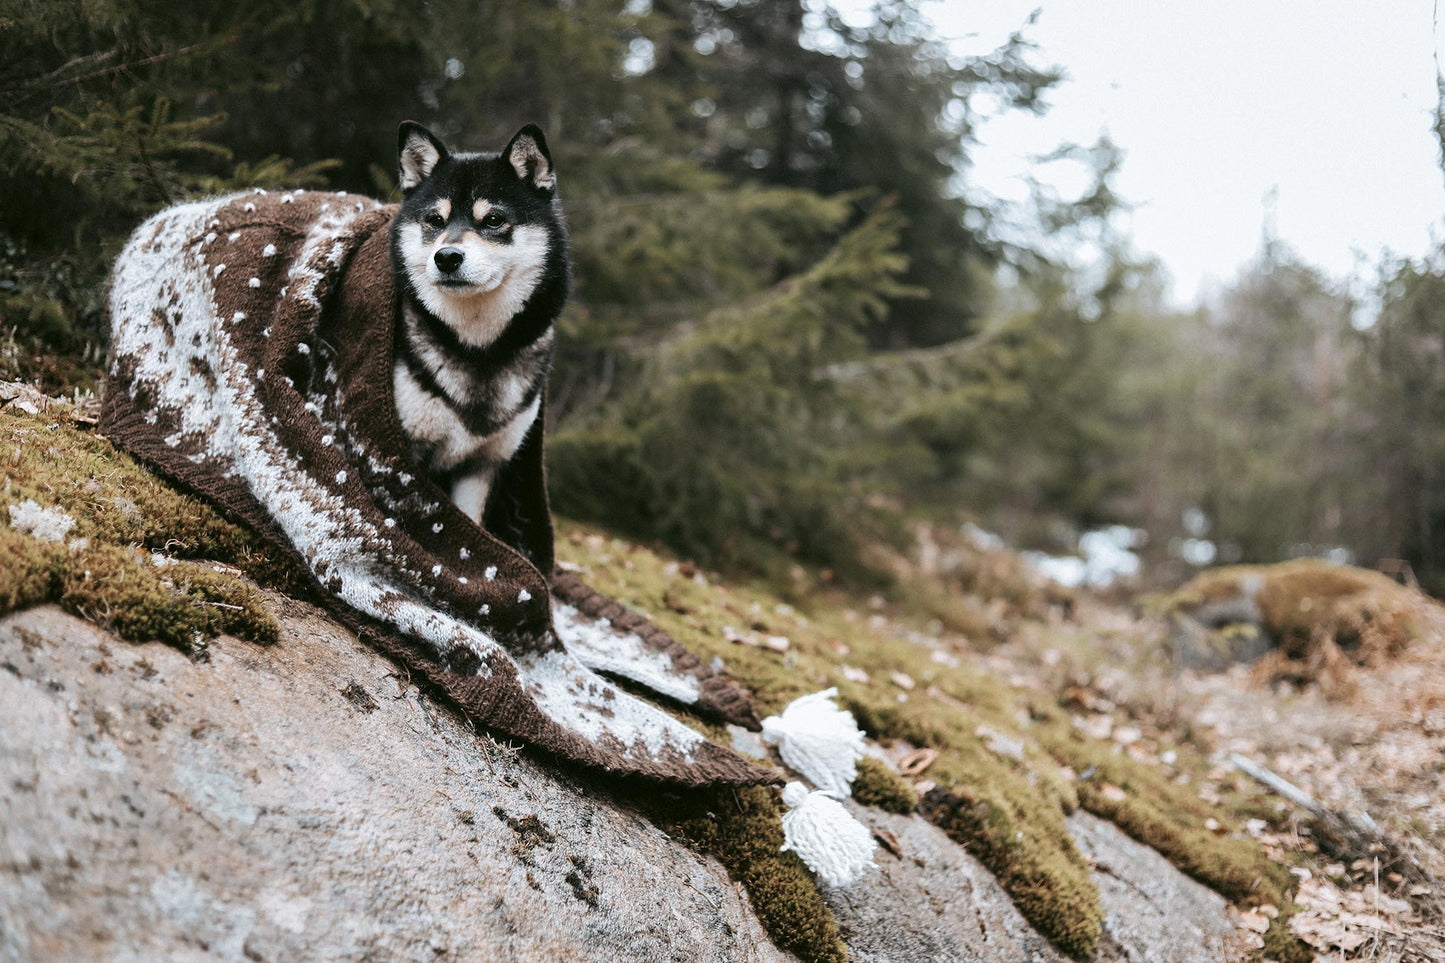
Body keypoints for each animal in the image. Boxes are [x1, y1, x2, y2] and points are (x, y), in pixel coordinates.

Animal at [390, 123, 569, 526]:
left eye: (493, 220)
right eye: (436, 220)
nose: (447, 257)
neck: (477, 347)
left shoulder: (482, 464)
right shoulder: (402, 454)